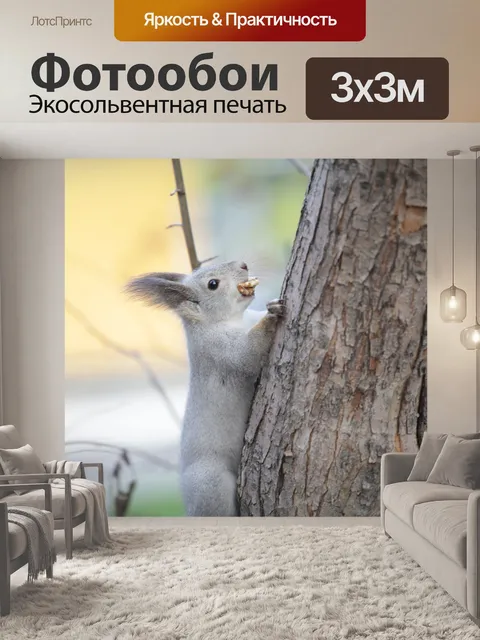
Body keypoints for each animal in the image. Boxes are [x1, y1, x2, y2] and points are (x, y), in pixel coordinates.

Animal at [126, 261, 284, 516]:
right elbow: (247, 354)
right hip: (211, 482)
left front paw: (271, 303)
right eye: (213, 284)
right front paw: (272, 316)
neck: (232, 320)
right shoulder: (219, 349)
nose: (243, 264)